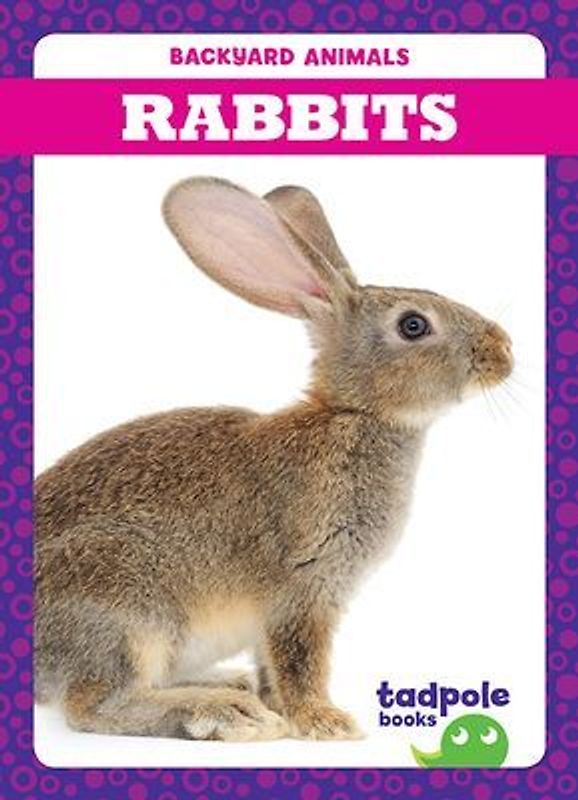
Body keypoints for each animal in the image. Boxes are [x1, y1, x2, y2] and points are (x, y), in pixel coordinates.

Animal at [34, 176, 513, 742]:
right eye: (414, 325)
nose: (504, 350)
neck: (353, 415)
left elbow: (273, 663)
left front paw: (285, 708)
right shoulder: (303, 586)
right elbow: (300, 659)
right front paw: (326, 722)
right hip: (125, 604)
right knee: (92, 705)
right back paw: (221, 711)